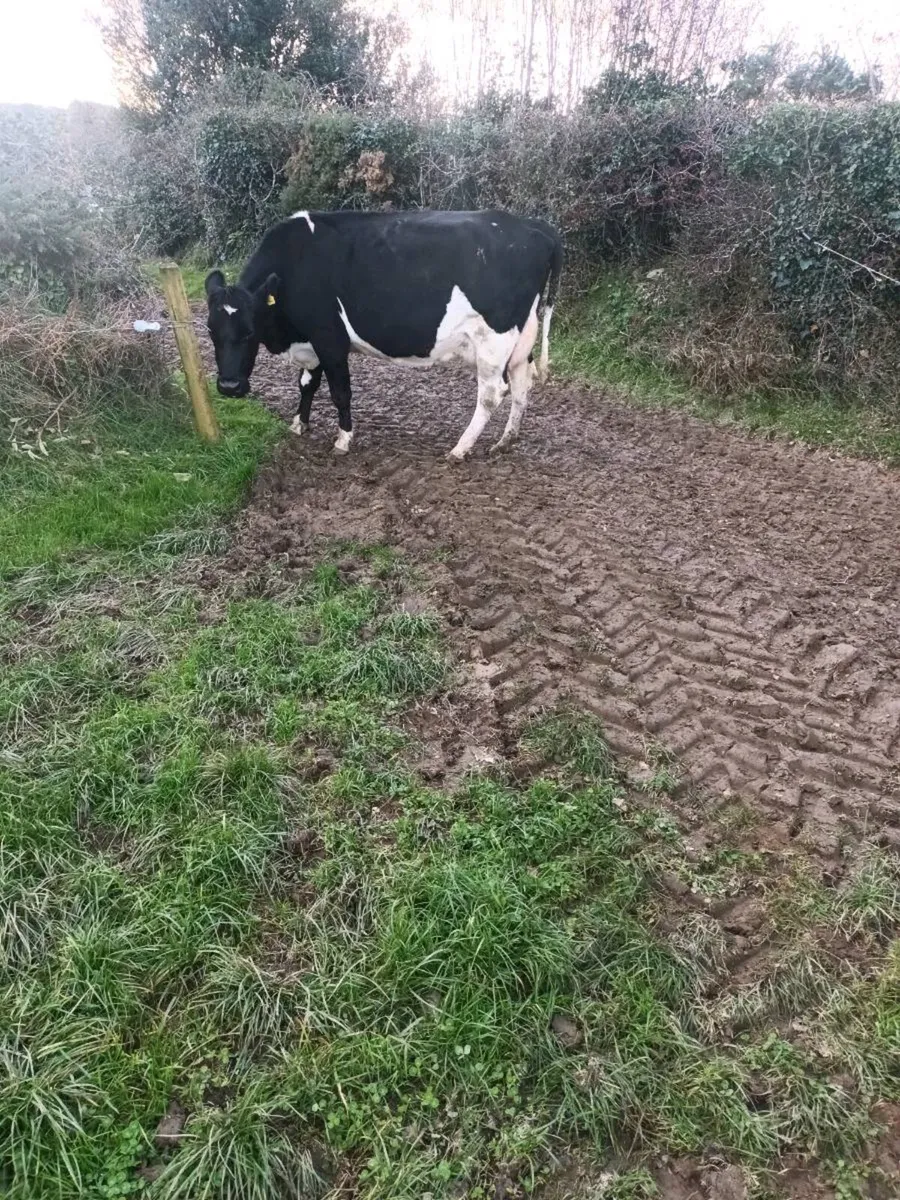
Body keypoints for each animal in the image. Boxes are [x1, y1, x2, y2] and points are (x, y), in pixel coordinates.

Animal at [204, 208, 563, 459]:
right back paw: (506, 440)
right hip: (522, 336)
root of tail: (532, 226)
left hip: (494, 339)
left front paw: (343, 439)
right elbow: (307, 383)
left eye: (250, 332)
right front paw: (299, 424)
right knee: (522, 381)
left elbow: (340, 392)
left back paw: (461, 448)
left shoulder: (329, 337)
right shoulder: (311, 341)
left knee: (492, 392)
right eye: (211, 331)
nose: (229, 387)